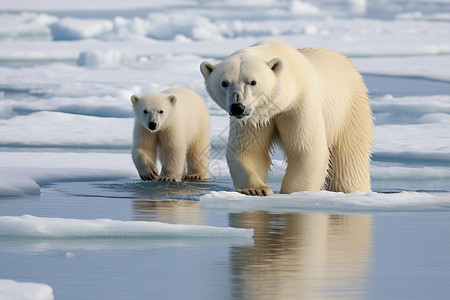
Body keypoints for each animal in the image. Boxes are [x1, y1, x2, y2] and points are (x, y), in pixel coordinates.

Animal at [200, 38, 372, 196]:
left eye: (253, 82)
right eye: (224, 83)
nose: (237, 107)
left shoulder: (299, 105)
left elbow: (306, 149)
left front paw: (291, 193)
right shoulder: (254, 118)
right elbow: (248, 150)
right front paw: (256, 189)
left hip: (351, 109)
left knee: (349, 158)